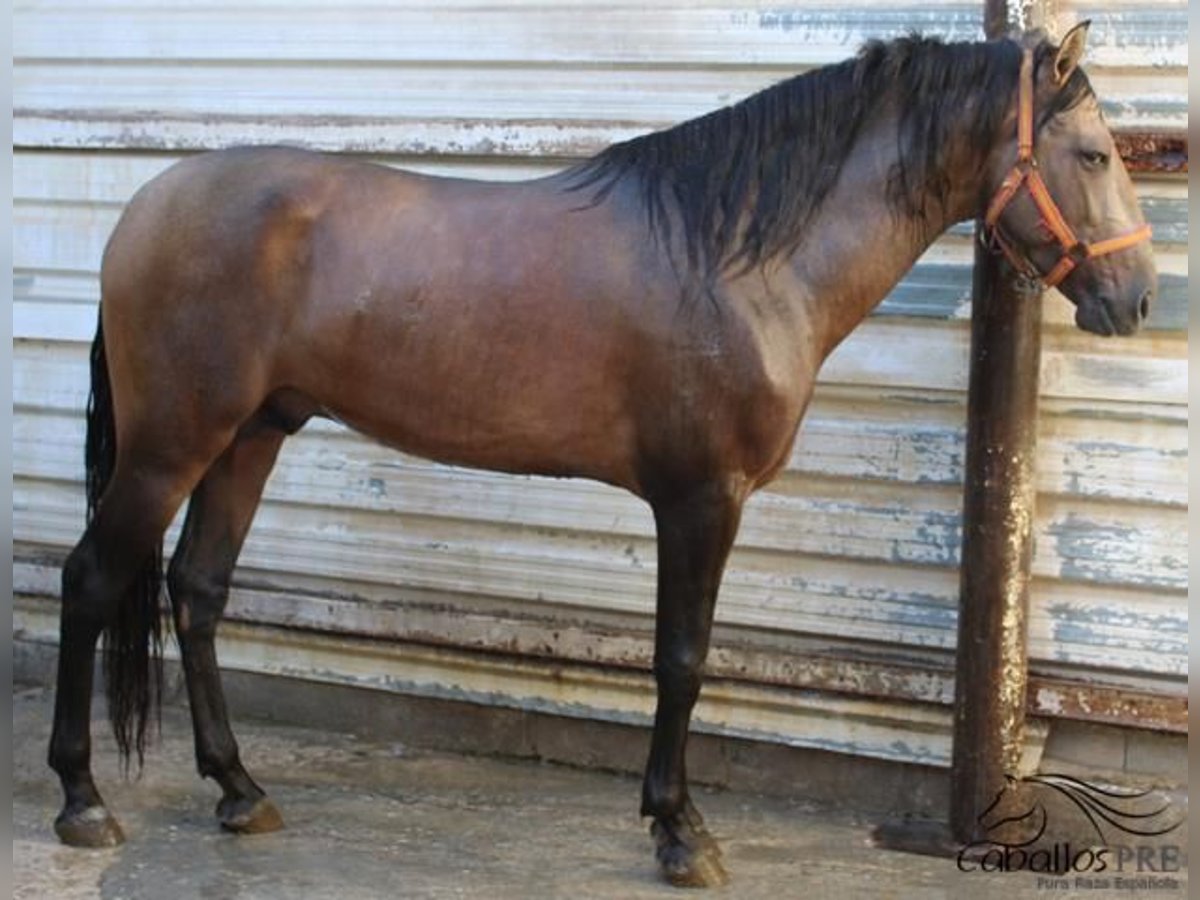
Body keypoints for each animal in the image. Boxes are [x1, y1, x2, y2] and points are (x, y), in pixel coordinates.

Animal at [49, 24, 1152, 892]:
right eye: (1095, 154)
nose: (1136, 298)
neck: (738, 258)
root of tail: (147, 207)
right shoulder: (702, 499)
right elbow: (682, 660)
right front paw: (680, 832)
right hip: (170, 446)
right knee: (93, 580)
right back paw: (81, 799)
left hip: (251, 435)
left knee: (197, 591)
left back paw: (239, 790)